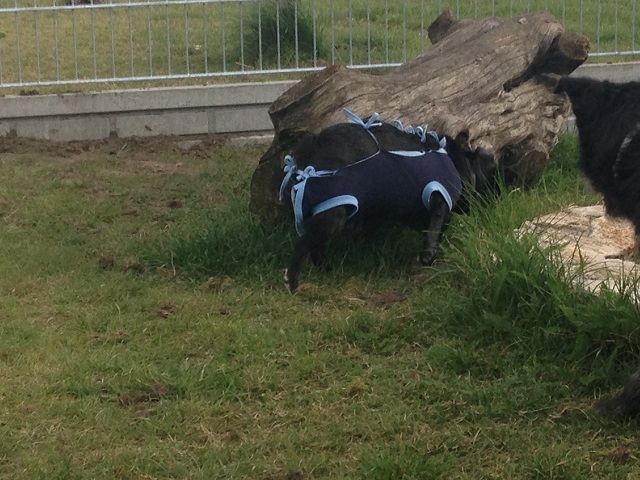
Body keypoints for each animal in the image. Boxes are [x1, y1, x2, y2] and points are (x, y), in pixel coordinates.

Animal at [279, 109, 496, 293]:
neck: (460, 164)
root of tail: (312, 146)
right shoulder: (438, 202)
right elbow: (433, 234)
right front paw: (428, 258)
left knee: (316, 247)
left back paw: (326, 270)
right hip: (333, 214)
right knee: (303, 244)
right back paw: (293, 282)